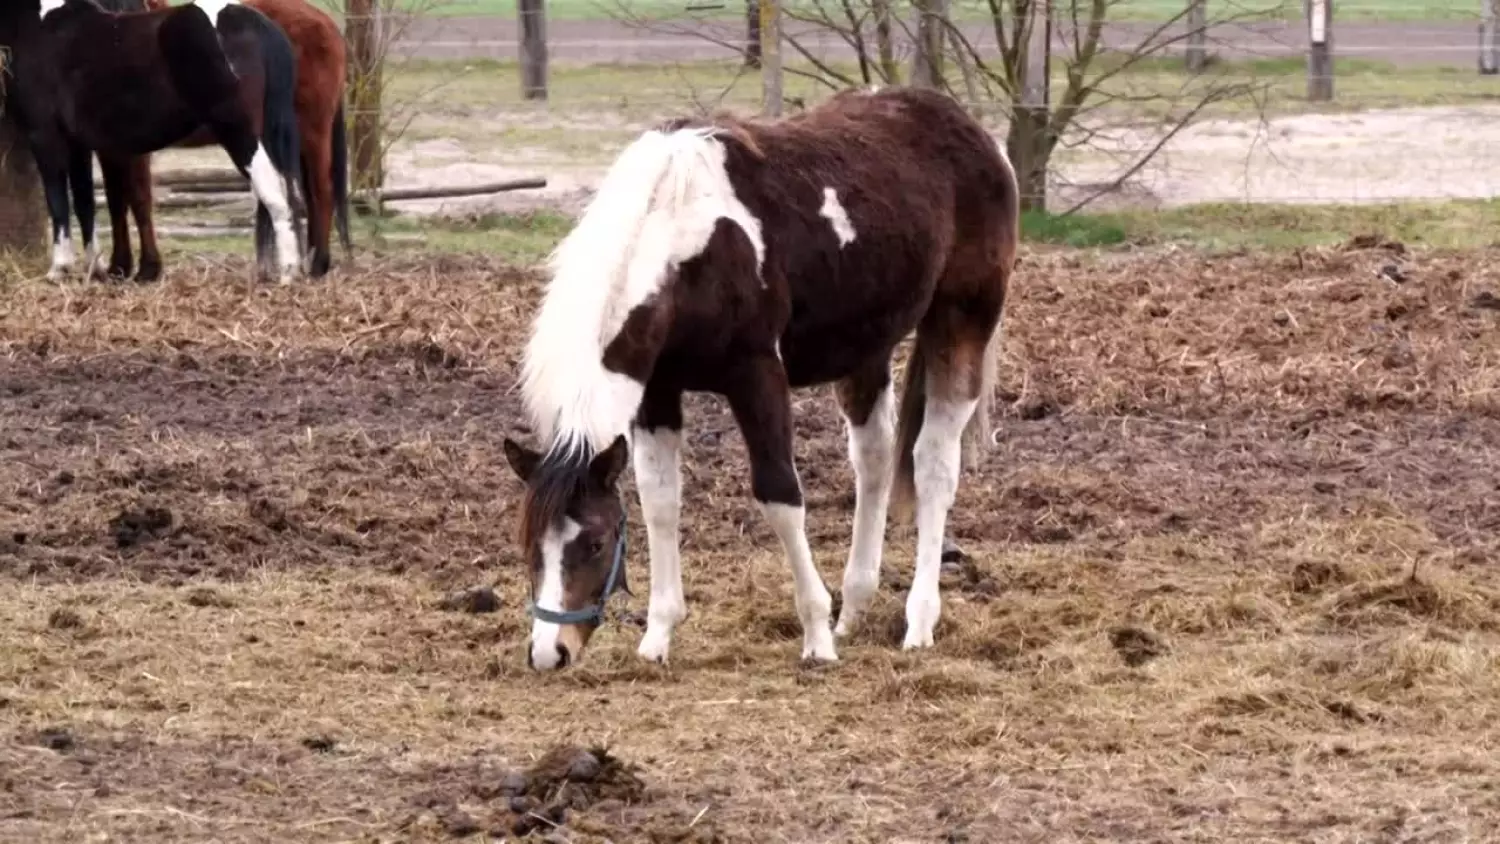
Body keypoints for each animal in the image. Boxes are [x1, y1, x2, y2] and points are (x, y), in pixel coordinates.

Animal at [0, 0, 307, 283]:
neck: (43, 26)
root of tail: (257, 25)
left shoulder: (45, 136)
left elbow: (58, 203)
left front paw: (59, 269)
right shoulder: (79, 145)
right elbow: (84, 204)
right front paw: (94, 269)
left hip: (240, 133)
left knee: (275, 194)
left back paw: (288, 275)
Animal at [98, 0, 349, 283]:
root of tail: (326, 24)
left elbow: (139, 199)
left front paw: (147, 269)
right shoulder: (108, 148)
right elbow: (116, 201)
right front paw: (119, 267)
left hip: (312, 134)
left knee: (321, 192)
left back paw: (318, 265)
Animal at [504, 87, 1020, 674]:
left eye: (594, 542)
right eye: (529, 544)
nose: (550, 652)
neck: (683, 238)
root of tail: (972, 131)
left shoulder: (756, 376)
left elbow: (779, 494)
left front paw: (816, 636)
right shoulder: (656, 393)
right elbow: (660, 500)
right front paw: (658, 636)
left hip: (960, 325)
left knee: (933, 465)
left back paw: (918, 622)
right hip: (868, 348)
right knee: (875, 459)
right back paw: (854, 608)